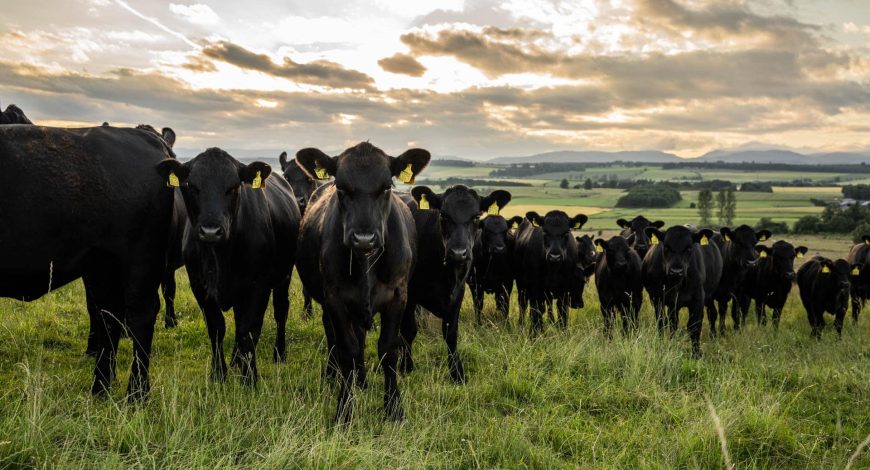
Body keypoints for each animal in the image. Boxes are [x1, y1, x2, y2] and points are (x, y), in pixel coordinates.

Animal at [0, 123, 174, 400]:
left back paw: (136, 395)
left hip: (139, 263)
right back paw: (100, 389)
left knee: (141, 315)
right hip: (102, 265)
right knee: (109, 315)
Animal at [155, 147, 301, 385]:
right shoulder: (200, 285)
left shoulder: (258, 285)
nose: (211, 231)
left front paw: (249, 378)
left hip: (284, 276)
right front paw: (218, 373)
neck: (220, 257)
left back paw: (278, 354)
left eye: (233, 187)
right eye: (192, 186)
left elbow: (249, 329)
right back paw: (235, 360)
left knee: (280, 312)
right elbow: (217, 327)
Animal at [293, 142, 430, 423]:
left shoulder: (398, 295)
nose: (364, 238)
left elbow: (388, 349)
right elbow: (347, 349)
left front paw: (394, 409)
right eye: (341, 187)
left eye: (387, 186)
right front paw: (344, 410)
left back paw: (362, 381)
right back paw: (335, 375)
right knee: (336, 337)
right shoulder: (335, 298)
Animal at [401, 186, 511, 383]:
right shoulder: (410, 292)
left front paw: (457, 374)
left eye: (476, 217)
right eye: (443, 215)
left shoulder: (457, 292)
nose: (458, 253)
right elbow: (408, 330)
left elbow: (451, 333)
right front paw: (406, 367)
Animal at [643, 226, 722, 356]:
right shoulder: (657, 298)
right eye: (666, 247)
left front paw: (696, 354)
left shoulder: (698, 299)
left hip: (709, 295)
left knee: (712, 313)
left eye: (689, 248)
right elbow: (662, 322)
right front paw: (663, 345)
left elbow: (694, 326)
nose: (676, 271)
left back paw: (713, 335)